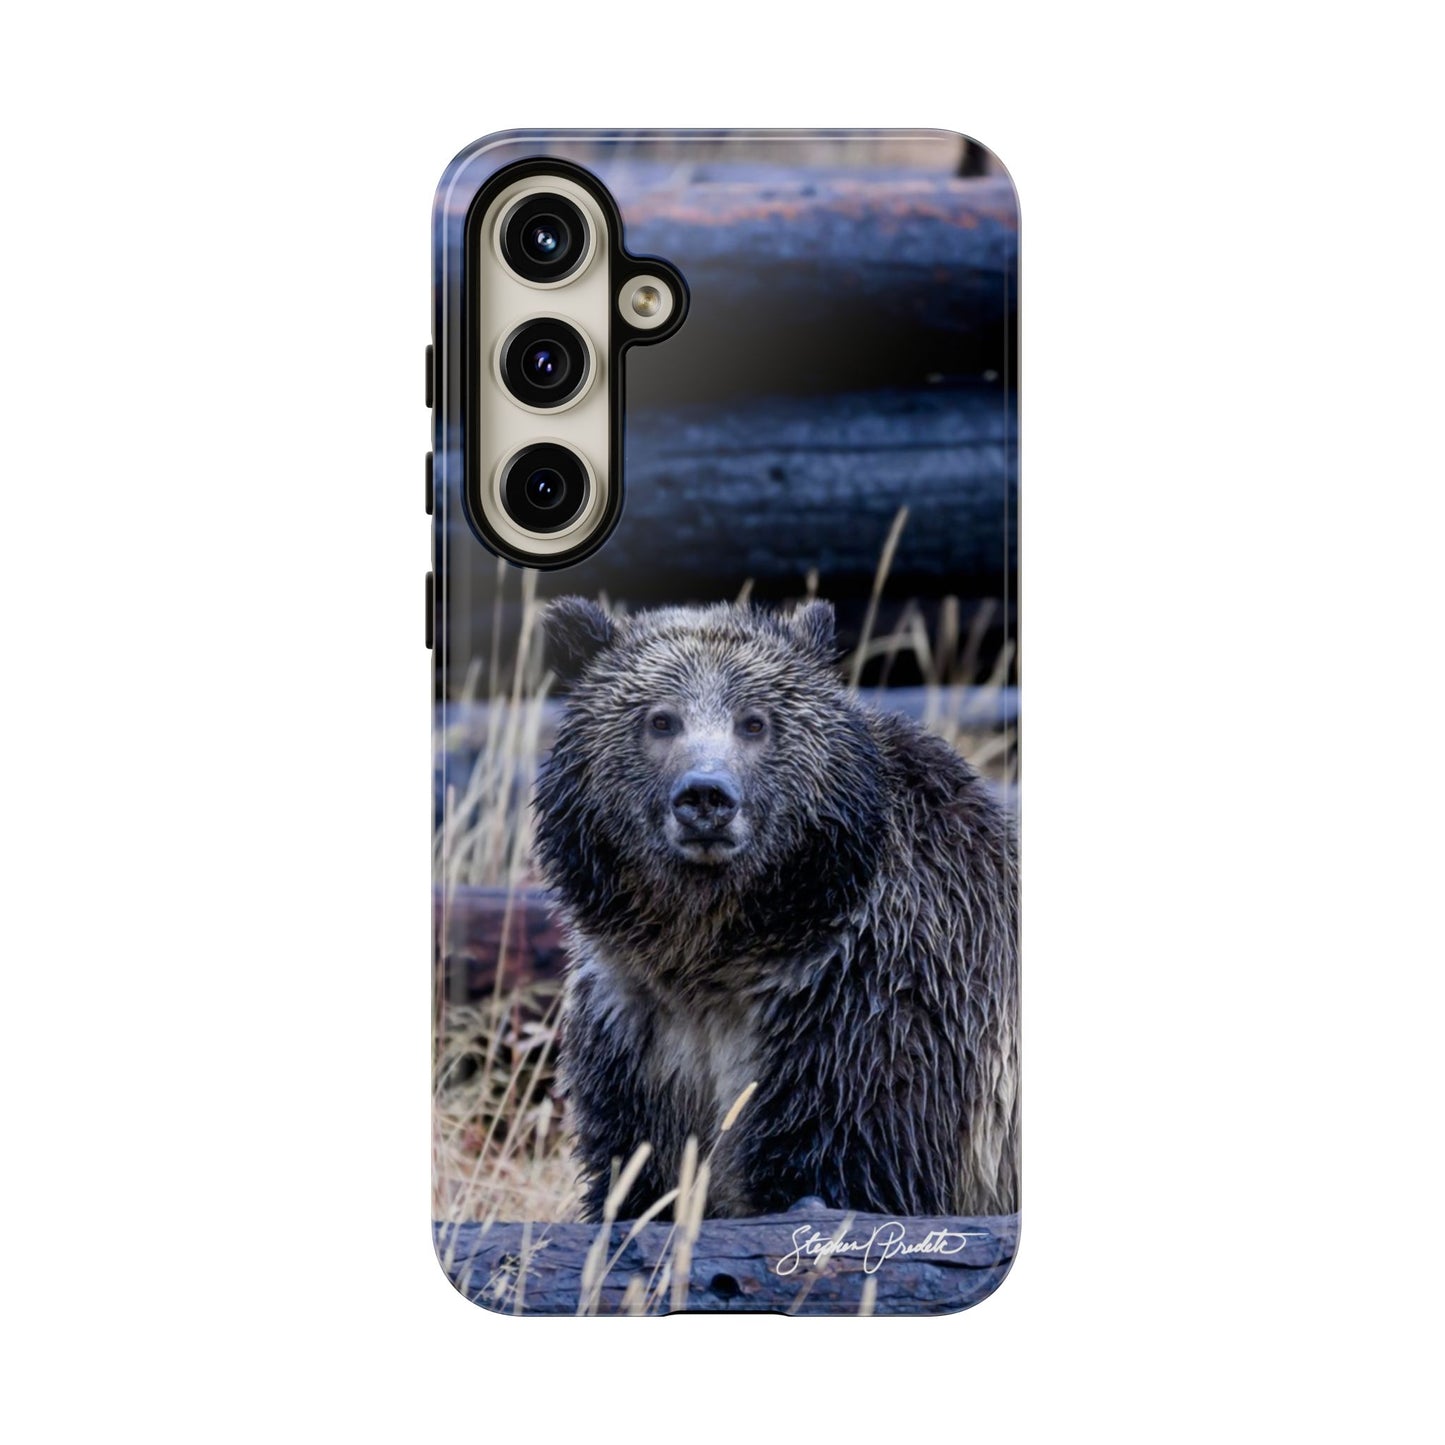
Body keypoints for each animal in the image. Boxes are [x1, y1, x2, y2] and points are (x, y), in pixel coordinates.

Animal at [534, 596, 1019, 1223]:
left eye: (754, 722)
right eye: (661, 720)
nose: (706, 796)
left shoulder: (870, 1006)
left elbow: (847, 1164)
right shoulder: (637, 1029)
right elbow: (634, 1174)